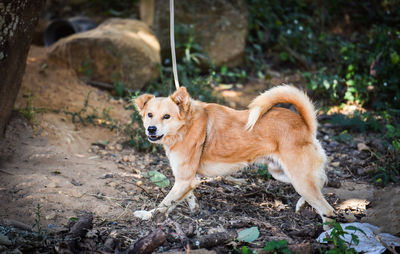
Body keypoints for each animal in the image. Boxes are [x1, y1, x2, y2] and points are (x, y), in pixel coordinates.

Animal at [134, 85, 334, 226]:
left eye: (166, 116)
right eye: (149, 115)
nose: (151, 129)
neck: (186, 125)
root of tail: (305, 125)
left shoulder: (183, 180)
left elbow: (164, 202)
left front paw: (148, 215)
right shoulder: (187, 180)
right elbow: (182, 197)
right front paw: (192, 207)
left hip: (299, 179)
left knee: (328, 210)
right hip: (283, 174)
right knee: (320, 183)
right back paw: (302, 204)